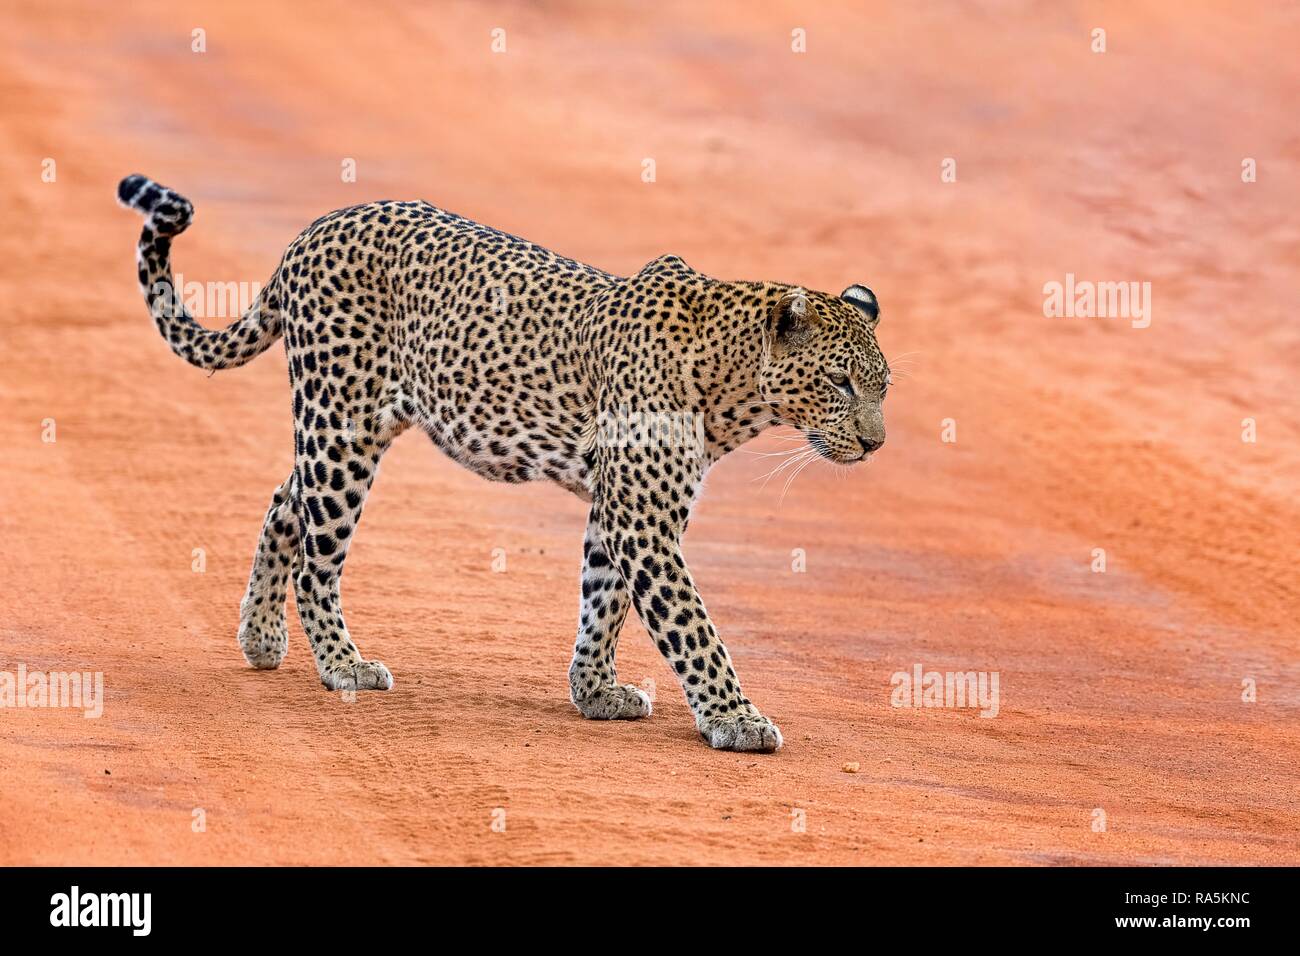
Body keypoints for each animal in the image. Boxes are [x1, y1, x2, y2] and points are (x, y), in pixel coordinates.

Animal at [117, 173, 889, 752]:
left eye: (882, 385)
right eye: (841, 382)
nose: (876, 443)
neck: (732, 387)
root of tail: (314, 228)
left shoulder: (619, 509)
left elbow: (603, 601)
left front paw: (595, 691)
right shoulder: (643, 519)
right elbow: (691, 626)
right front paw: (736, 719)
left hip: (349, 426)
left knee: (286, 504)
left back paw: (261, 637)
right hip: (341, 427)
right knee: (317, 558)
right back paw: (342, 665)